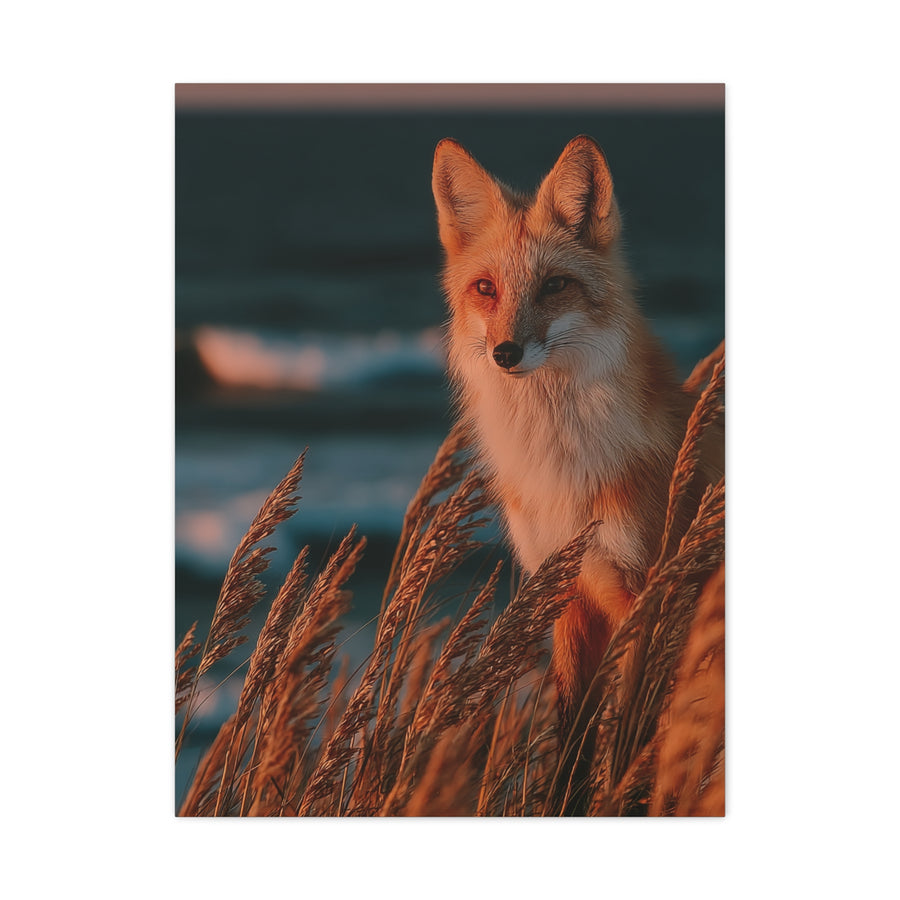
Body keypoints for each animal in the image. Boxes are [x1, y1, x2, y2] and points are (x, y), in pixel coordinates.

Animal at [431, 135, 723, 811]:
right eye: (485, 288)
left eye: (554, 285)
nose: (505, 352)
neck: (565, 475)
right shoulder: (567, 593)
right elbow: (572, 749)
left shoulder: (649, 598)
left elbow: (634, 742)